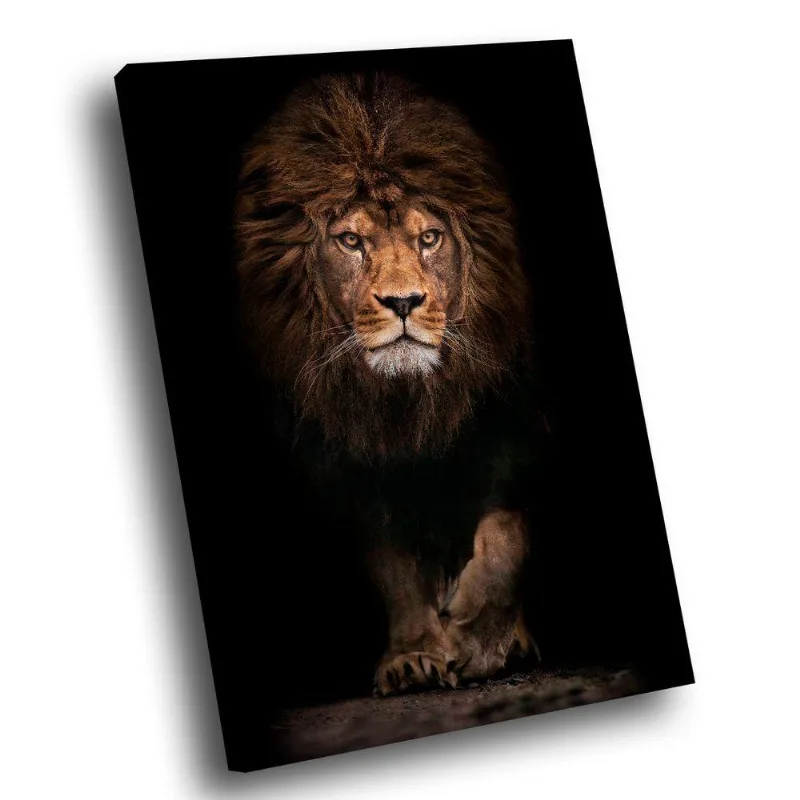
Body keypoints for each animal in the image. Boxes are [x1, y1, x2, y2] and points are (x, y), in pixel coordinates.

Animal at [235, 73, 539, 696]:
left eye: (430, 239)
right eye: (351, 241)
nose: (403, 302)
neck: (408, 401)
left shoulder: (510, 423)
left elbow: (505, 535)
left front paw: (477, 640)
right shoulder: (347, 461)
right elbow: (391, 564)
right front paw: (416, 655)